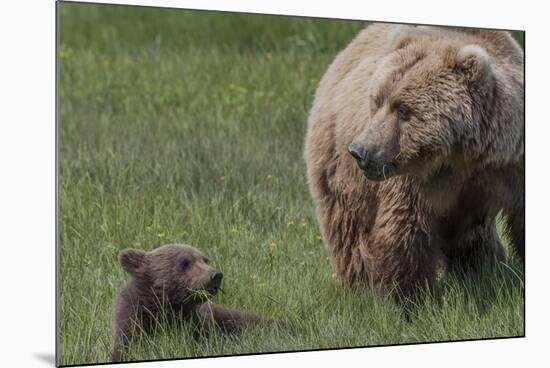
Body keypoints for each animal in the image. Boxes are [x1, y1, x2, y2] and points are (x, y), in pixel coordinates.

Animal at [306, 23, 528, 300]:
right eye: (377, 101)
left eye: (403, 109)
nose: (360, 151)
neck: (463, 155)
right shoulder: (415, 180)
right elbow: (404, 228)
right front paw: (410, 296)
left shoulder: (511, 164)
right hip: (337, 167)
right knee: (348, 228)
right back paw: (360, 285)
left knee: (473, 236)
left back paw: (481, 269)